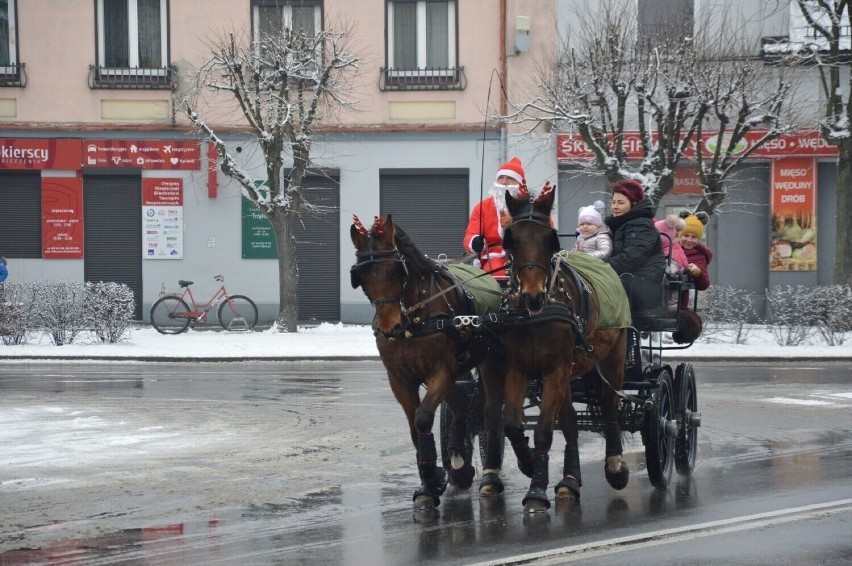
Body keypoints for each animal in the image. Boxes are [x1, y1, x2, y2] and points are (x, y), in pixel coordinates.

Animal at [348, 215, 502, 512]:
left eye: (395, 271)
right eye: (361, 276)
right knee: (462, 407)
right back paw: (459, 464)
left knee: (485, 410)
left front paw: (433, 476)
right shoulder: (399, 379)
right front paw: (429, 484)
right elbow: (413, 428)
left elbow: (423, 418)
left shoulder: (441, 371)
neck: (413, 319)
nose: (390, 327)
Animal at [482, 185, 628, 516]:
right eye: (512, 239)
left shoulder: (555, 370)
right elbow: (512, 424)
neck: (537, 314)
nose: (533, 296)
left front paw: (536, 490)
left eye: (549, 238)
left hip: (612, 360)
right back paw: (569, 481)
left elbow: (544, 430)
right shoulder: (518, 369)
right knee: (571, 424)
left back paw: (615, 465)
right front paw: (527, 464)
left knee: (610, 406)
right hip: (568, 374)